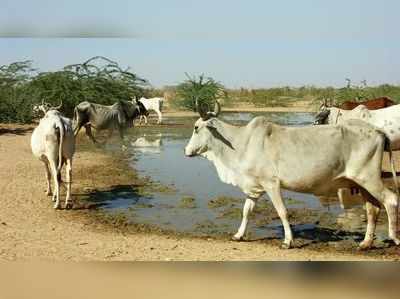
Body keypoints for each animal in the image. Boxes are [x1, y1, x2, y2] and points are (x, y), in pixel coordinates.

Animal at [185, 102, 400, 250]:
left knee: (390, 200)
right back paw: (365, 243)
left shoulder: (271, 184)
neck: (240, 143)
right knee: (372, 209)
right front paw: (238, 235)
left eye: (196, 127)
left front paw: (288, 241)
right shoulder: (254, 188)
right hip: (362, 183)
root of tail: (378, 131)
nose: (186, 151)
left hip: (369, 179)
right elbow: (246, 211)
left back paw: (393, 237)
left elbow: (282, 212)